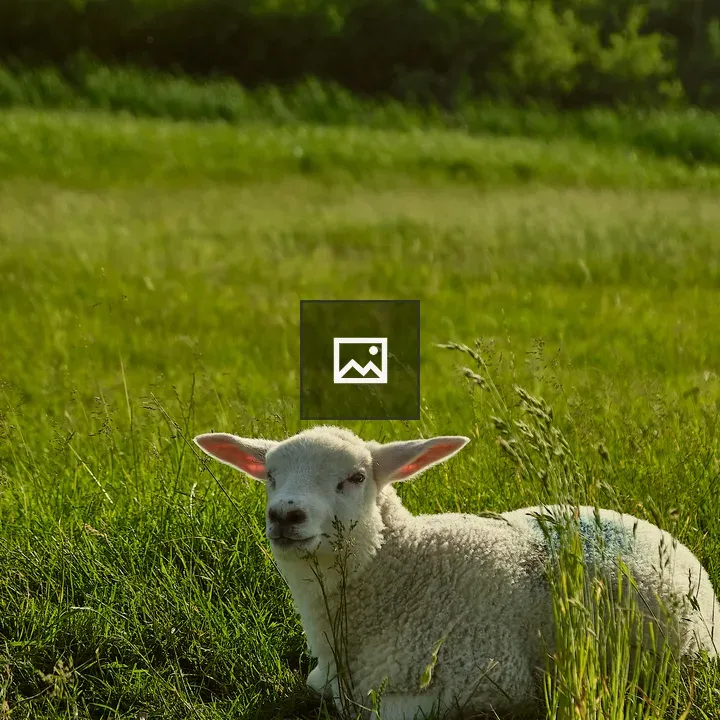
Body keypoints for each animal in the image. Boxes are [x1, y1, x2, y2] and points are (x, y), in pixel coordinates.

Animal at [194, 425, 719, 720]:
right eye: (269, 477)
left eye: (356, 478)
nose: (286, 515)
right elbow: (320, 687)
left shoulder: (487, 677)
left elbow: (372, 710)